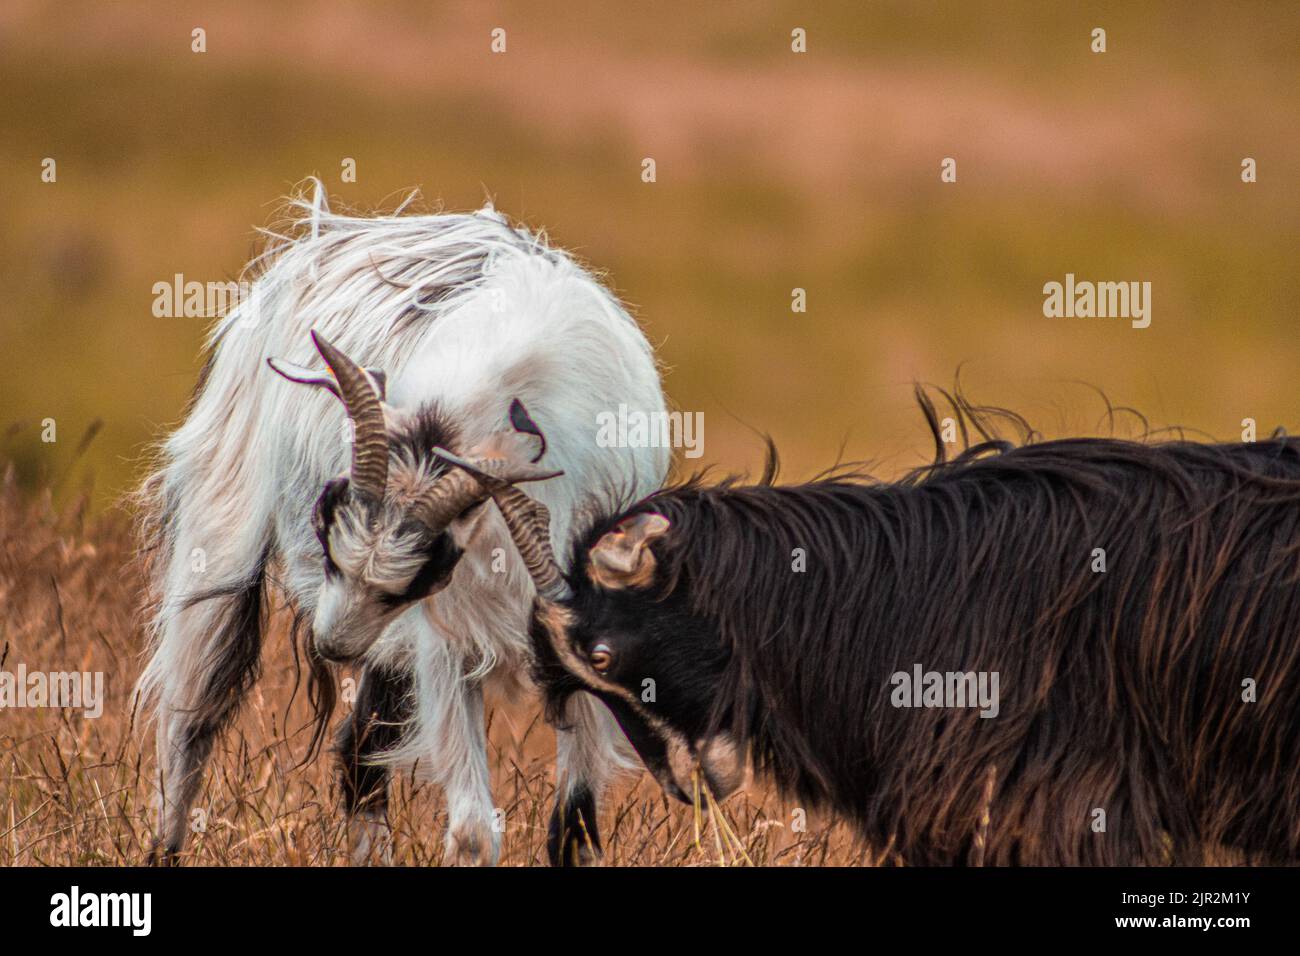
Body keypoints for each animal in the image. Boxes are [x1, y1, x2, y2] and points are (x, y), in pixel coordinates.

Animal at [137, 184, 670, 868]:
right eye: (327, 543)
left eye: (414, 579)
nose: (333, 646)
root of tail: (321, 235)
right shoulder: (443, 643)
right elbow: (472, 831)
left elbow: (573, 826)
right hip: (222, 530)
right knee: (189, 719)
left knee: (357, 749)